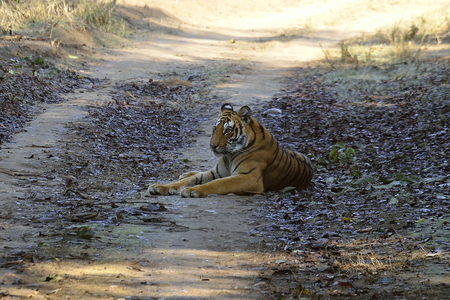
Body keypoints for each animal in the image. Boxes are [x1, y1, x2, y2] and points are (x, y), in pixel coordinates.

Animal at [148, 104, 312, 198]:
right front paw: (159, 187)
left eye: (227, 130)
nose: (212, 145)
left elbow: (218, 184)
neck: (229, 155)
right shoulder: (216, 172)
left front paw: (192, 190)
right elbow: (189, 180)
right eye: (215, 128)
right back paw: (185, 173)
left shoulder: (249, 177)